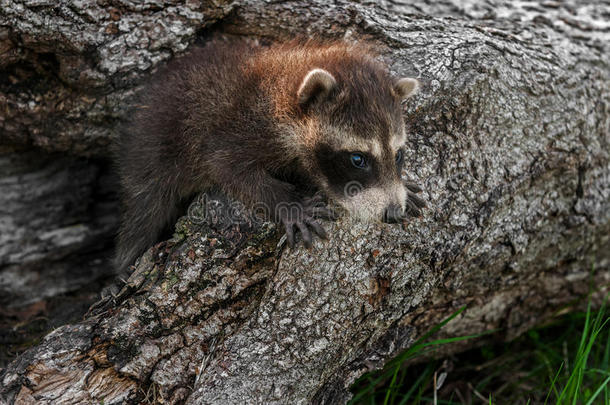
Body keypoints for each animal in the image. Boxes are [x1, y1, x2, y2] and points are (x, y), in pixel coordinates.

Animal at [116, 38, 426, 274]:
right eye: (358, 159)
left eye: (398, 155)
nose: (393, 212)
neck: (284, 100)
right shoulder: (237, 130)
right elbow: (227, 168)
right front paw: (288, 202)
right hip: (154, 153)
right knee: (145, 212)